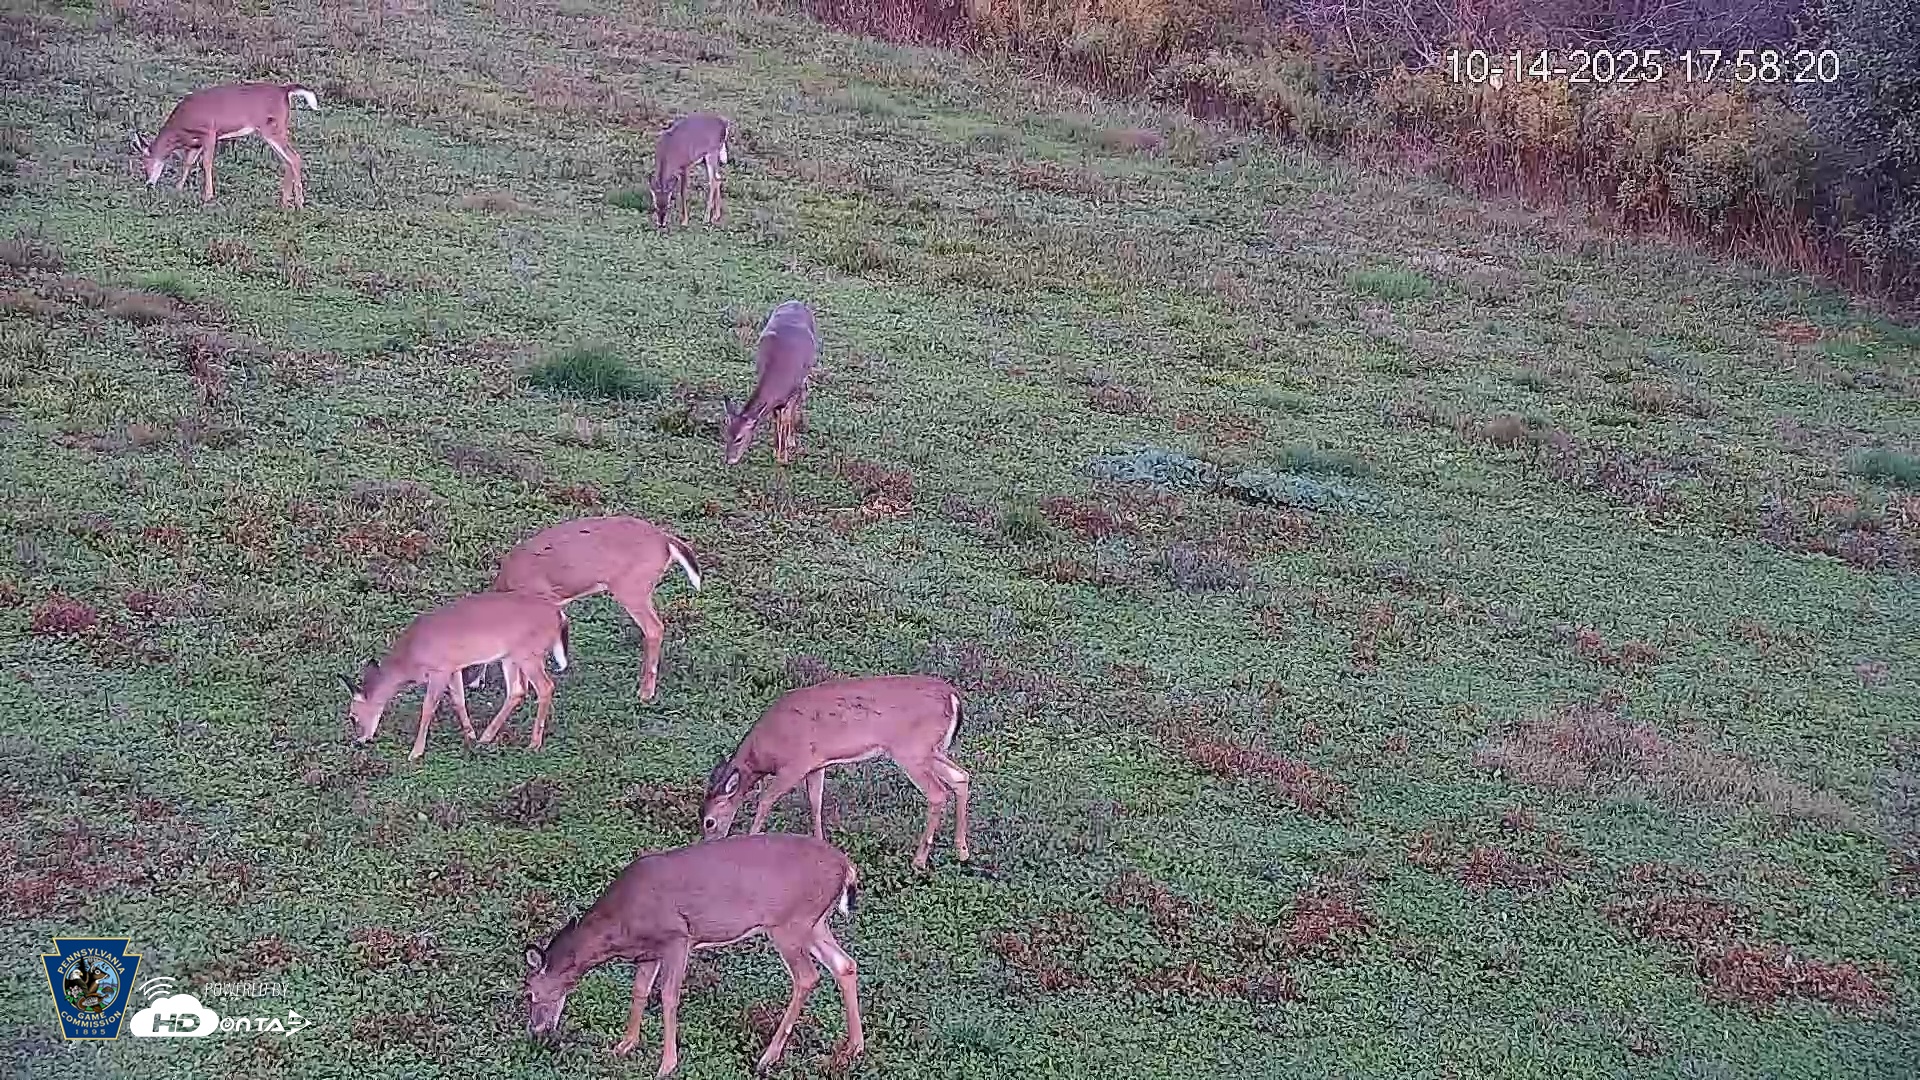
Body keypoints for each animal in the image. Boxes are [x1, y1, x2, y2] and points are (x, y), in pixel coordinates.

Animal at [132, 82, 320, 208]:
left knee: (294, 157)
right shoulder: (195, 143)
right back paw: (284, 202)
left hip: (272, 128)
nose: (149, 184)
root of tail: (284, 90)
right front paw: (178, 189)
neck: (181, 125)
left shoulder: (210, 132)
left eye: (145, 162)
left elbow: (206, 163)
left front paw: (208, 196)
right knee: (287, 160)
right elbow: (188, 163)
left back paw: (299, 203)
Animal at [341, 591, 571, 761]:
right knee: (517, 691)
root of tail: (559, 615)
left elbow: (428, 708)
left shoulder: (440, 670)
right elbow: (459, 700)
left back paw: (534, 743)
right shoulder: (454, 668)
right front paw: (470, 736)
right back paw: (485, 737)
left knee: (545, 687)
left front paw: (415, 753)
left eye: (352, 716)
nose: (359, 741)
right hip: (510, 656)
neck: (410, 659)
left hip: (528, 654)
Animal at [523, 833, 863, 1078]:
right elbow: (639, 991)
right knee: (845, 964)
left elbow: (668, 996)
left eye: (528, 993)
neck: (621, 925)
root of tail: (847, 866)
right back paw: (853, 1049)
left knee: (808, 976)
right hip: (814, 923)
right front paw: (624, 1045)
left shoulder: (677, 937)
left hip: (789, 923)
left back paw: (767, 1058)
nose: (536, 1030)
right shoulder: (647, 953)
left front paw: (666, 1065)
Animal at [700, 675, 970, 871]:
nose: (708, 846)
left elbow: (765, 799)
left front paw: (752, 839)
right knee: (961, 777)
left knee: (938, 793)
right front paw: (821, 844)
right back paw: (962, 852)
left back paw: (919, 860)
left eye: (709, 822)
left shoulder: (796, 763)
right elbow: (815, 802)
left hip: (912, 750)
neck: (765, 749)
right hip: (931, 751)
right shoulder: (816, 765)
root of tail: (953, 697)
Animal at [722, 300, 818, 467]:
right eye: (727, 433)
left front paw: (783, 456)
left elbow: (785, 419)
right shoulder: (774, 402)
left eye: (739, 438)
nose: (729, 460)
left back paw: (791, 441)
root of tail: (796, 302)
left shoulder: (794, 390)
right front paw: (776, 451)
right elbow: (776, 419)